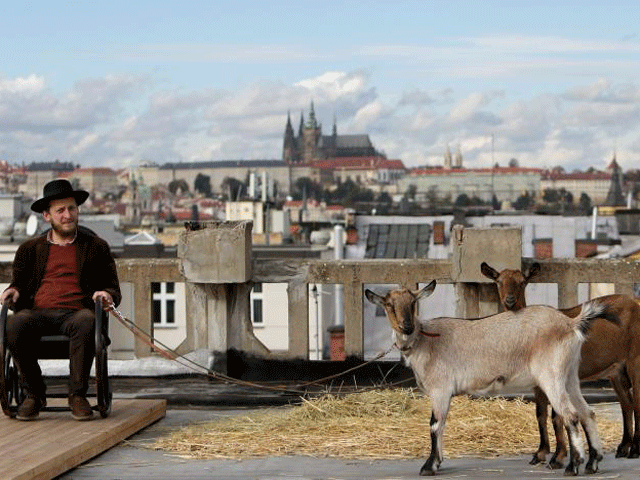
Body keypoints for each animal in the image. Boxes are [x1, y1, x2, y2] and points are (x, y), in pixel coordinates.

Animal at [364, 282, 616, 476]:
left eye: (413, 303)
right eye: (389, 305)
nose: (406, 327)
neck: (424, 342)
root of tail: (571, 323)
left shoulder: (440, 389)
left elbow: (435, 425)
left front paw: (429, 465)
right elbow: (441, 425)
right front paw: (438, 462)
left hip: (551, 376)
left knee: (570, 416)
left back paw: (573, 466)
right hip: (569, 375)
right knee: (587, 413)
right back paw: (593, 462)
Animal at [480, 260, 640, 466]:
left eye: (523, 282)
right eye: (498, 281)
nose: (510, 300)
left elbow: (557, 415)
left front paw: (558, 456)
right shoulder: (537, 380)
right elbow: (540, 413)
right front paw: (541, 453)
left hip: (635, 358)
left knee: (637, 401)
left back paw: (635, 449)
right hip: (617, 369)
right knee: (626, 403)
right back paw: (623, 447)